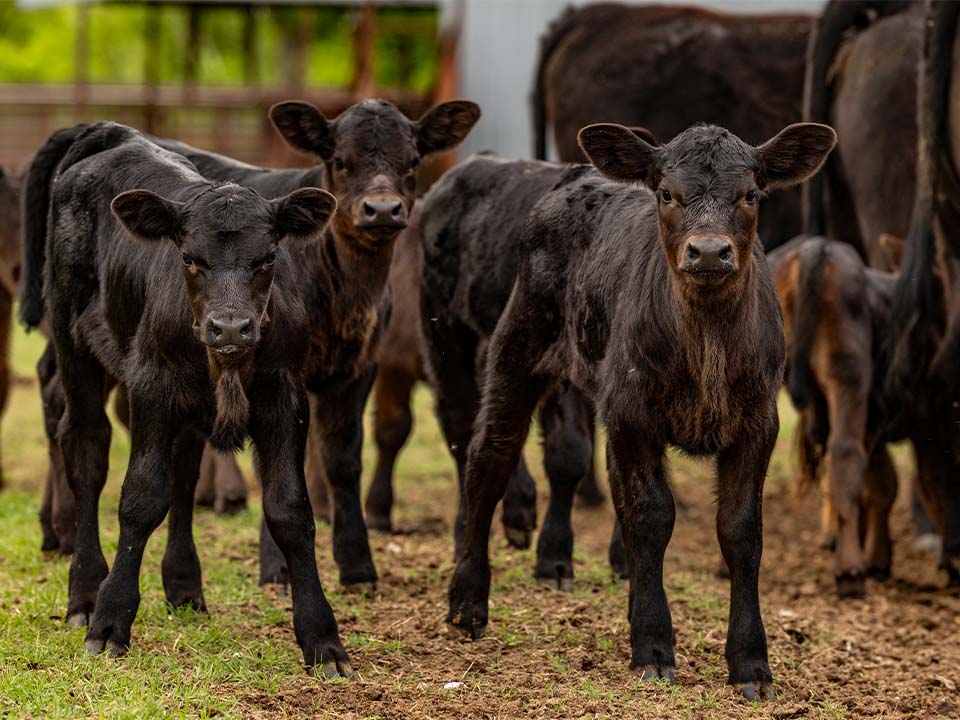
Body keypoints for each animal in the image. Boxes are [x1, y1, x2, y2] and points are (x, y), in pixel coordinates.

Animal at [18, 121, 351, 674]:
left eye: (268, 259)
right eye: (191, 259)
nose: (231, 328)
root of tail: (115, 134)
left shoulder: (285, 395)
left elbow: (289, 510)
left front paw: (323, 639)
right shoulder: (151, 385)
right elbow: (140, 497)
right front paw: (110, 621)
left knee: (185, 472)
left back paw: (184, 587)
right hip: (73, 341)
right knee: (86, 449)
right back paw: (84, 593)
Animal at [423, 122, 836, 699]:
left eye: (751, 195)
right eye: (666, 194)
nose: (709, 253)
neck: (706, 343)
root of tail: (571, 177)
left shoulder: (758, 423)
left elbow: (740, 532)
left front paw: (751, 664)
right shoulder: (631, 414)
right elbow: (650, 515)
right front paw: (654, 648)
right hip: (512, 345)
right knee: (489, 456)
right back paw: (467, 602)